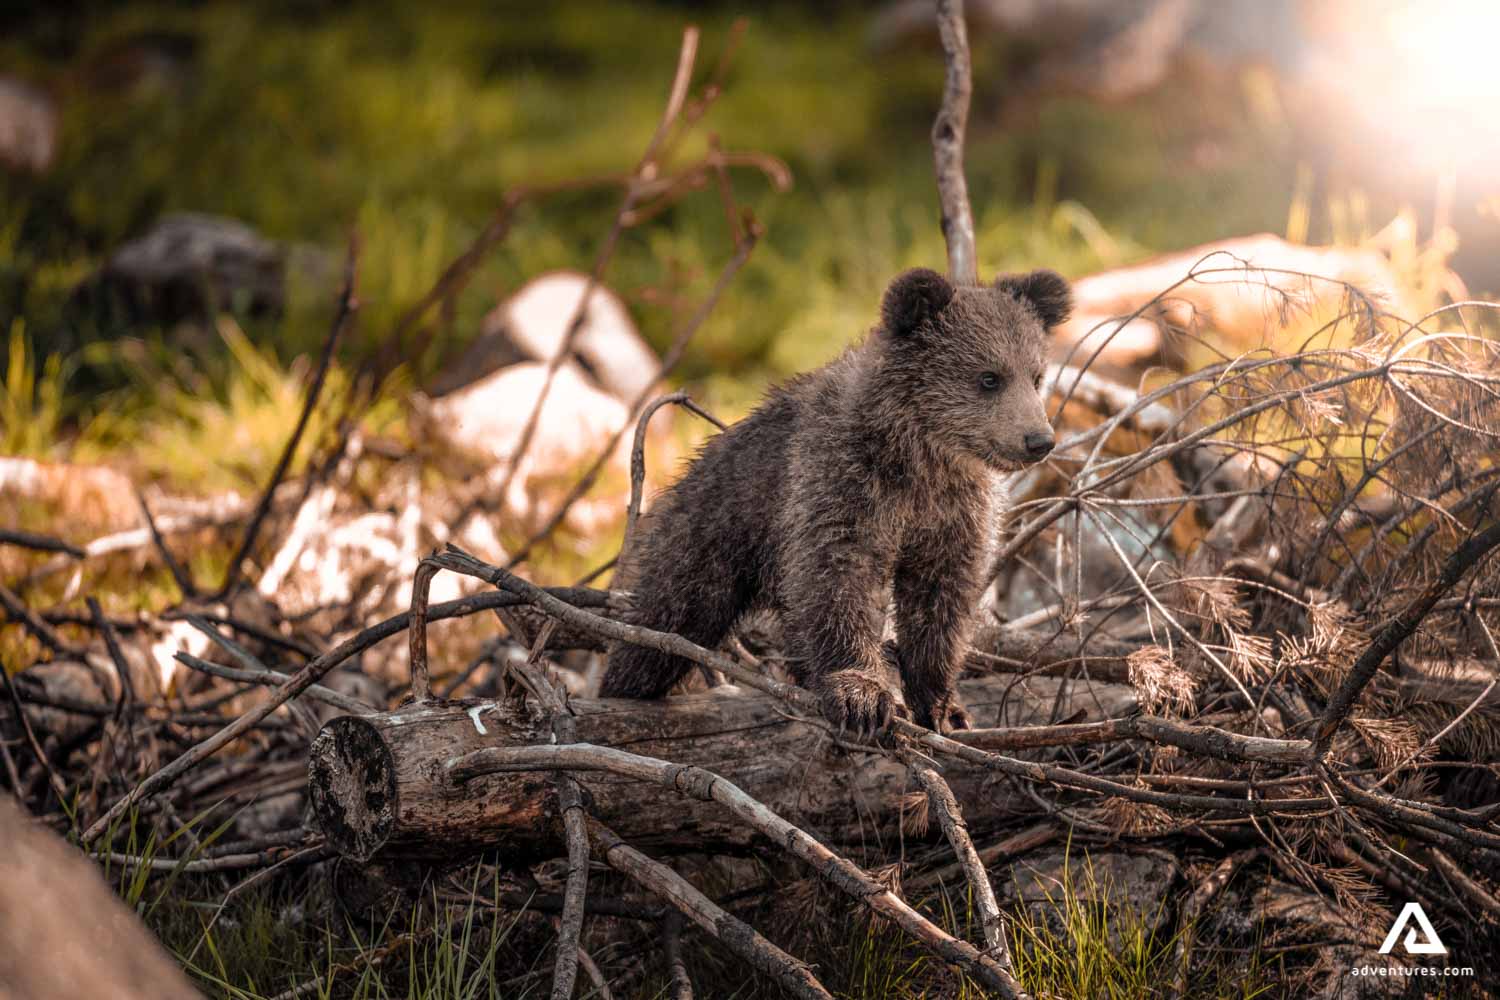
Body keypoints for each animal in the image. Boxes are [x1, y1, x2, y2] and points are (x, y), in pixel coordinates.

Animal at [599, 266, 1072, 735]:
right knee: (665, 623)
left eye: (1036, 375)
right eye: (989, 377)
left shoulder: (953, 513)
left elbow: (941, 598)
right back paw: (622, 687)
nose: (1038, 440)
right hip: (710, 536)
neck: (920, 457)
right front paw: (862, 696)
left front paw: (943, 707)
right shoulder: (841, 483)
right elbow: (837, 578)